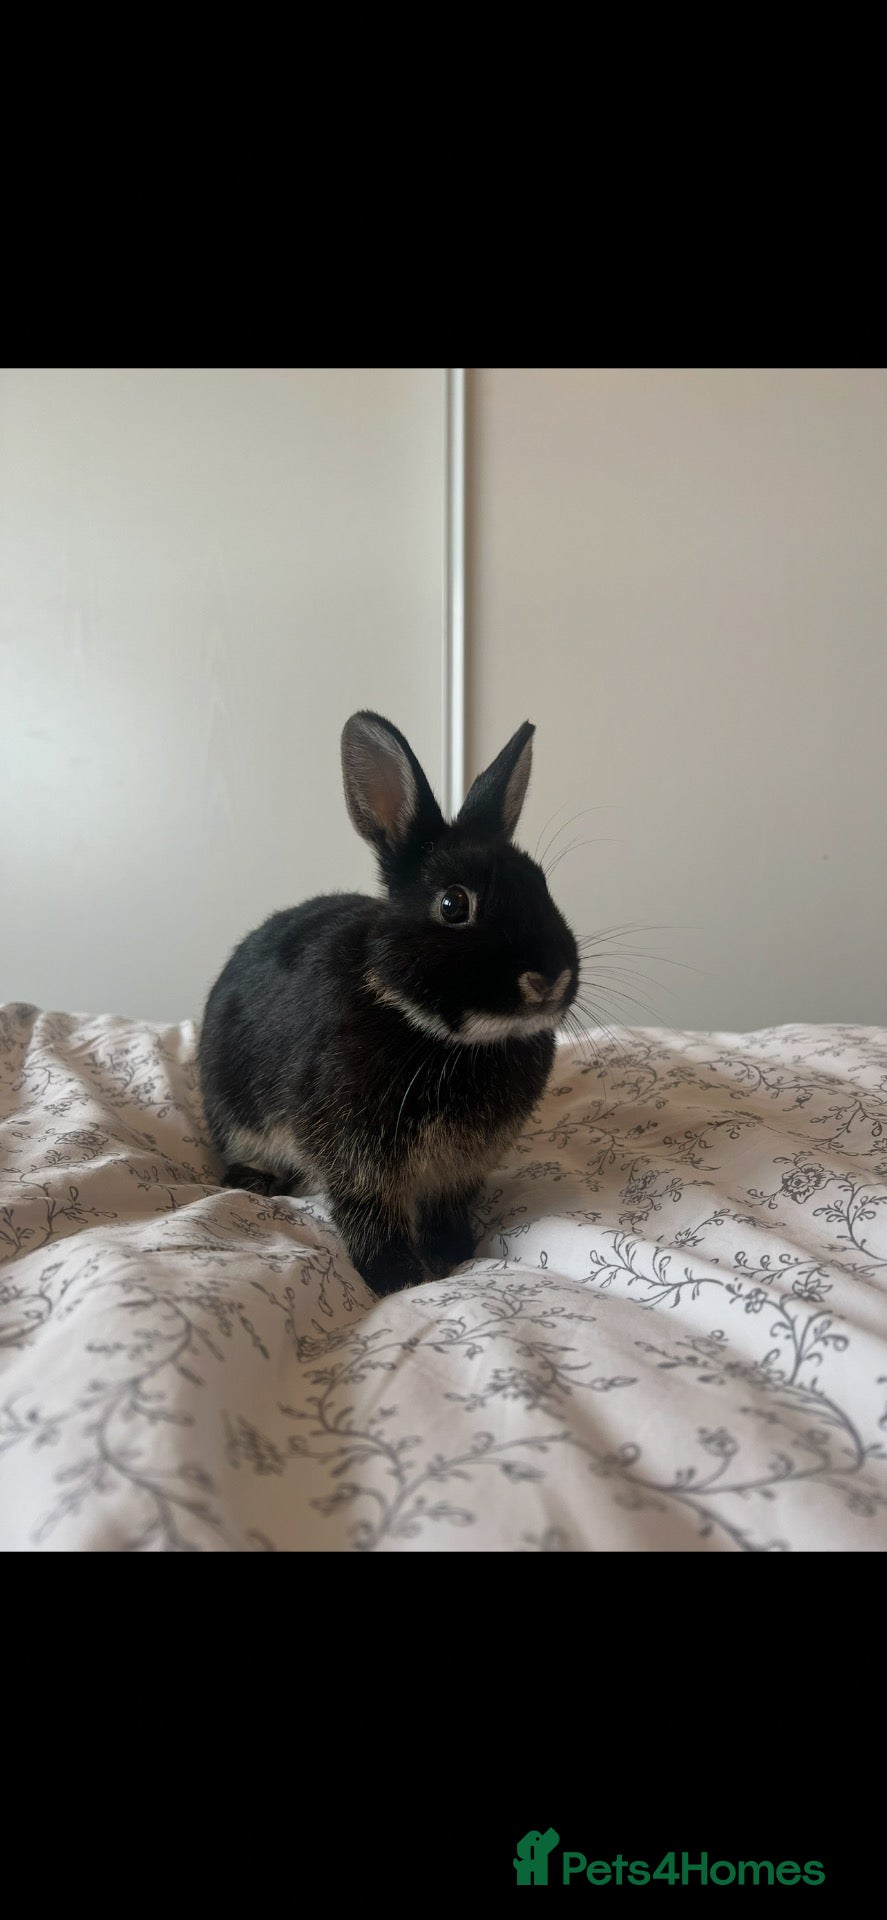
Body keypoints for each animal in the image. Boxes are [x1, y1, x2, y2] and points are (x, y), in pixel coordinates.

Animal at [198, 711, 579, 1297]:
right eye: (453, 904)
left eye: (541, 884)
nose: (550, 978)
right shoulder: (356, 1158)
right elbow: (370, 1215)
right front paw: (397, 1278)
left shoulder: (458, 1171)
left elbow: (445, 1209)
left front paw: (454, 1255)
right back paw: (254, 1181)